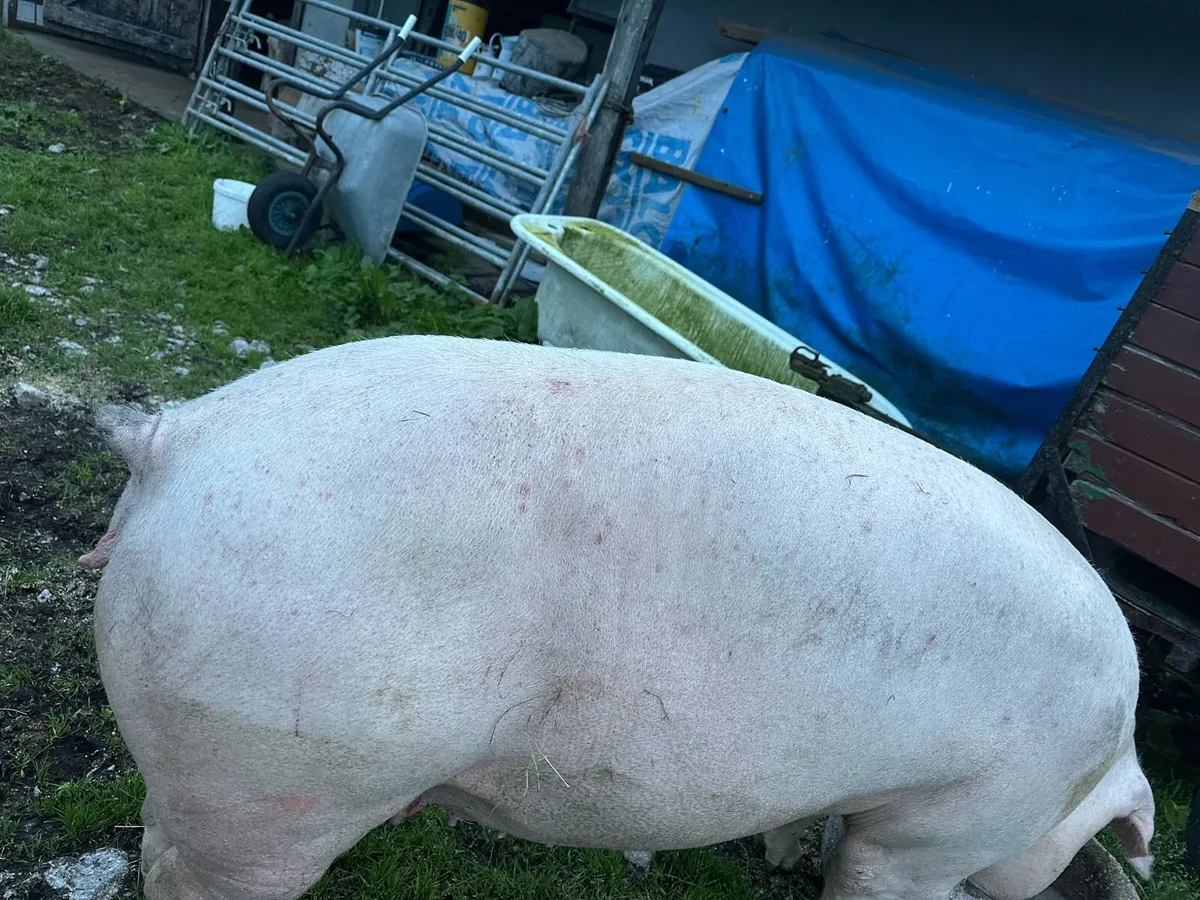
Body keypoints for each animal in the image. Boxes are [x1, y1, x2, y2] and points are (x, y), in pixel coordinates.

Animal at [80, 334, 1155, 900]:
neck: (1091, 767)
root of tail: (176, 438)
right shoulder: (944, 824)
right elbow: (876, 877)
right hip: (286, 769)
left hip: (212, 758)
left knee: (156, 840)